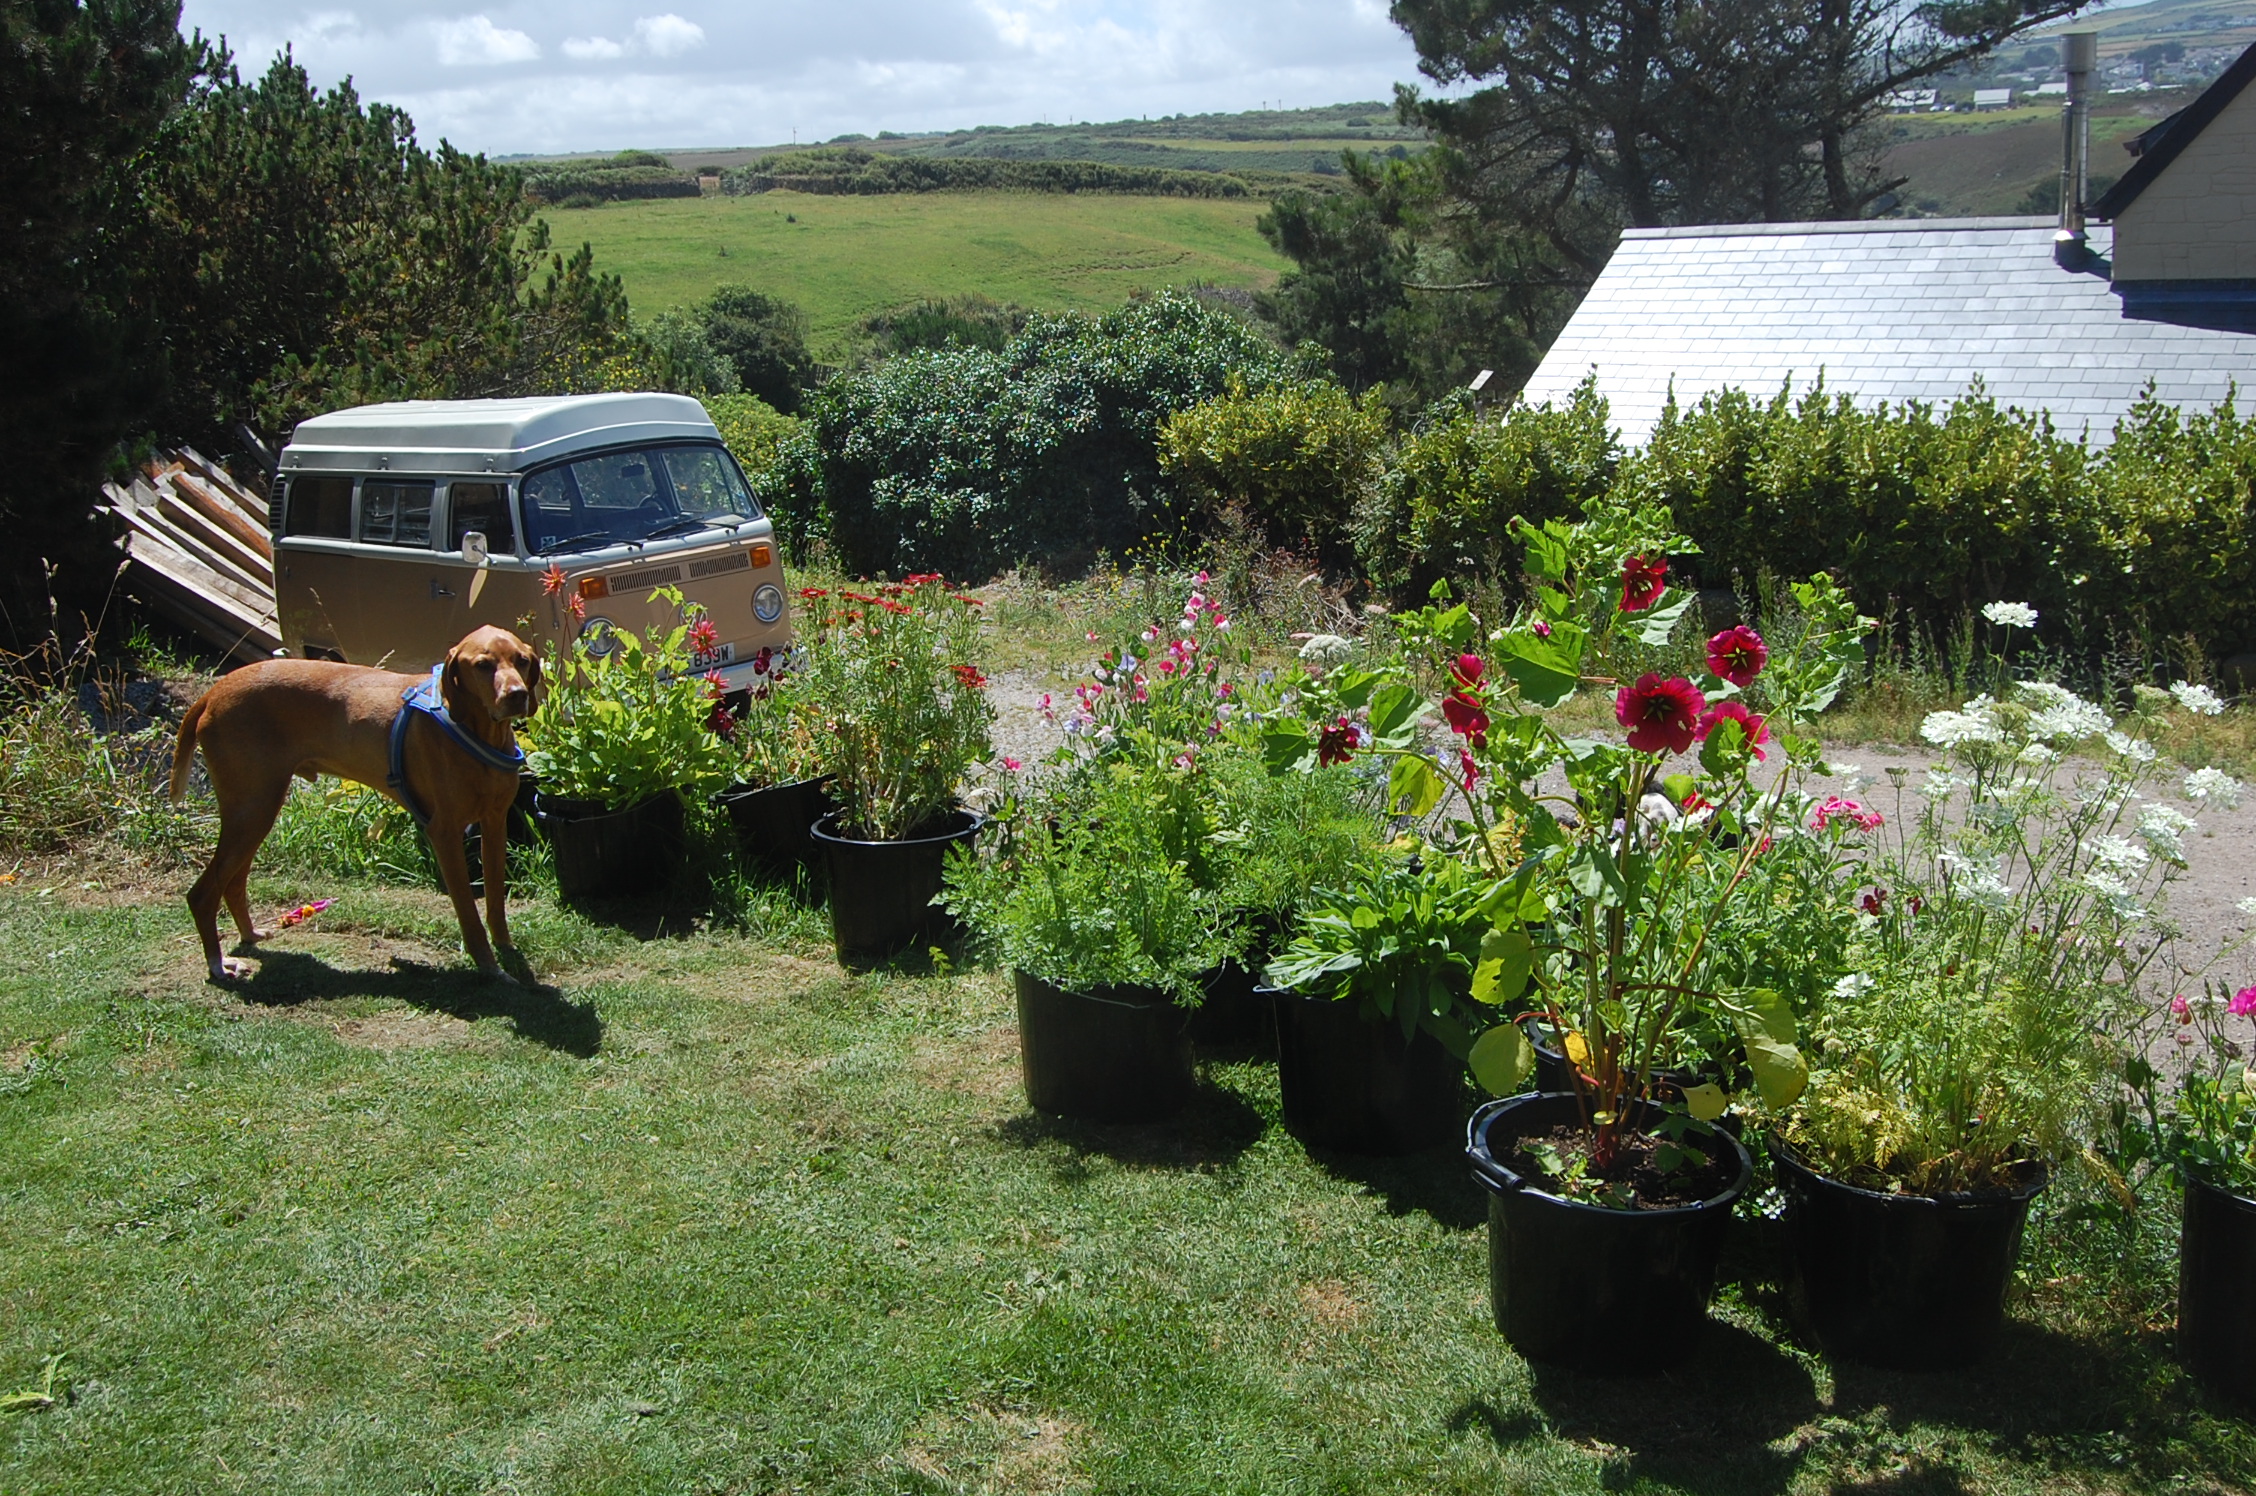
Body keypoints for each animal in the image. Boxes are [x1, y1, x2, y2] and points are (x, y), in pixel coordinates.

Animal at [166, 627, 541, 983]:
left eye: (522, 661)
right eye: (483, 665)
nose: (517, 695)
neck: (477, 731)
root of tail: (215, 690)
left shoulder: (495, 823)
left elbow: (495, 902)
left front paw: (506, 949)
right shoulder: (444, 832)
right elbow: (468, 914)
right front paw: (490, 967)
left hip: (254, 812)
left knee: (232, 882)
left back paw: (249, 934)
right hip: (252, 810)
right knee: (202, 894)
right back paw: (218, 966)